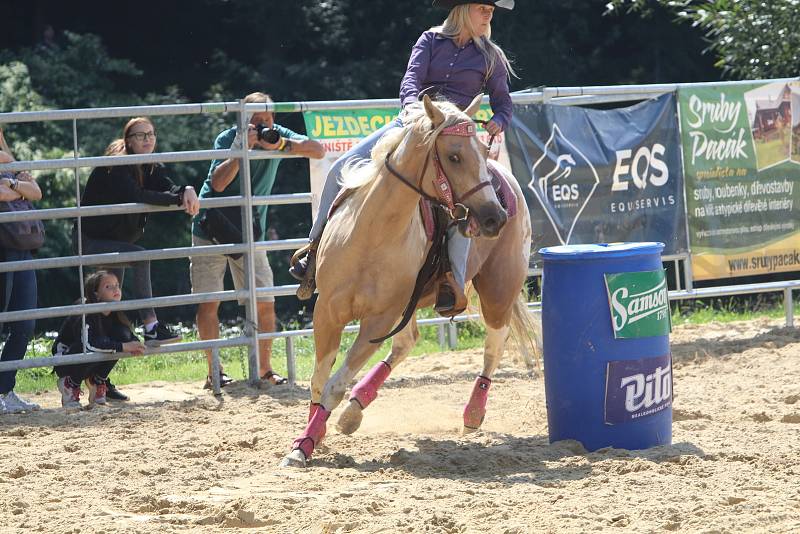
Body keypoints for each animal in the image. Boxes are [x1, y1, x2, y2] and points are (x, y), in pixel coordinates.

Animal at [282, 95, 536, 468]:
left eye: (483, 150)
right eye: (454, 155)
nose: (494, 217)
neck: (371, 232)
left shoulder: (378, 320)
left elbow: (335, 384)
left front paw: (309, 441)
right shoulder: (327, 312)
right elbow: (318, 380)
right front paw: (308, 440)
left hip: (499, 288)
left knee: (495, 342)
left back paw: (473, 413)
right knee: (406, 343)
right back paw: (354, 410)